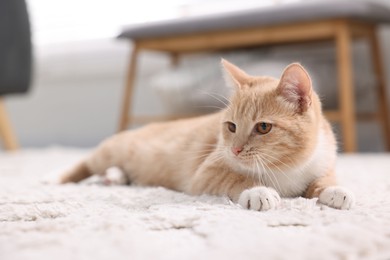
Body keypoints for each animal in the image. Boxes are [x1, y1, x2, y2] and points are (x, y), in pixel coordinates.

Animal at [59, 59, 354, 211]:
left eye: (263, 127)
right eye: (231, 126)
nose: (235, 149)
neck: (285, 168)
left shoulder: (323, 161)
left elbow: (323, 179)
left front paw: (335, 190)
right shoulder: (207, 171)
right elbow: (237, 178)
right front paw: (258, 190)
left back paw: (114, 176)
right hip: (110, 152)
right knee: (84, 165)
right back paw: (59, 178)